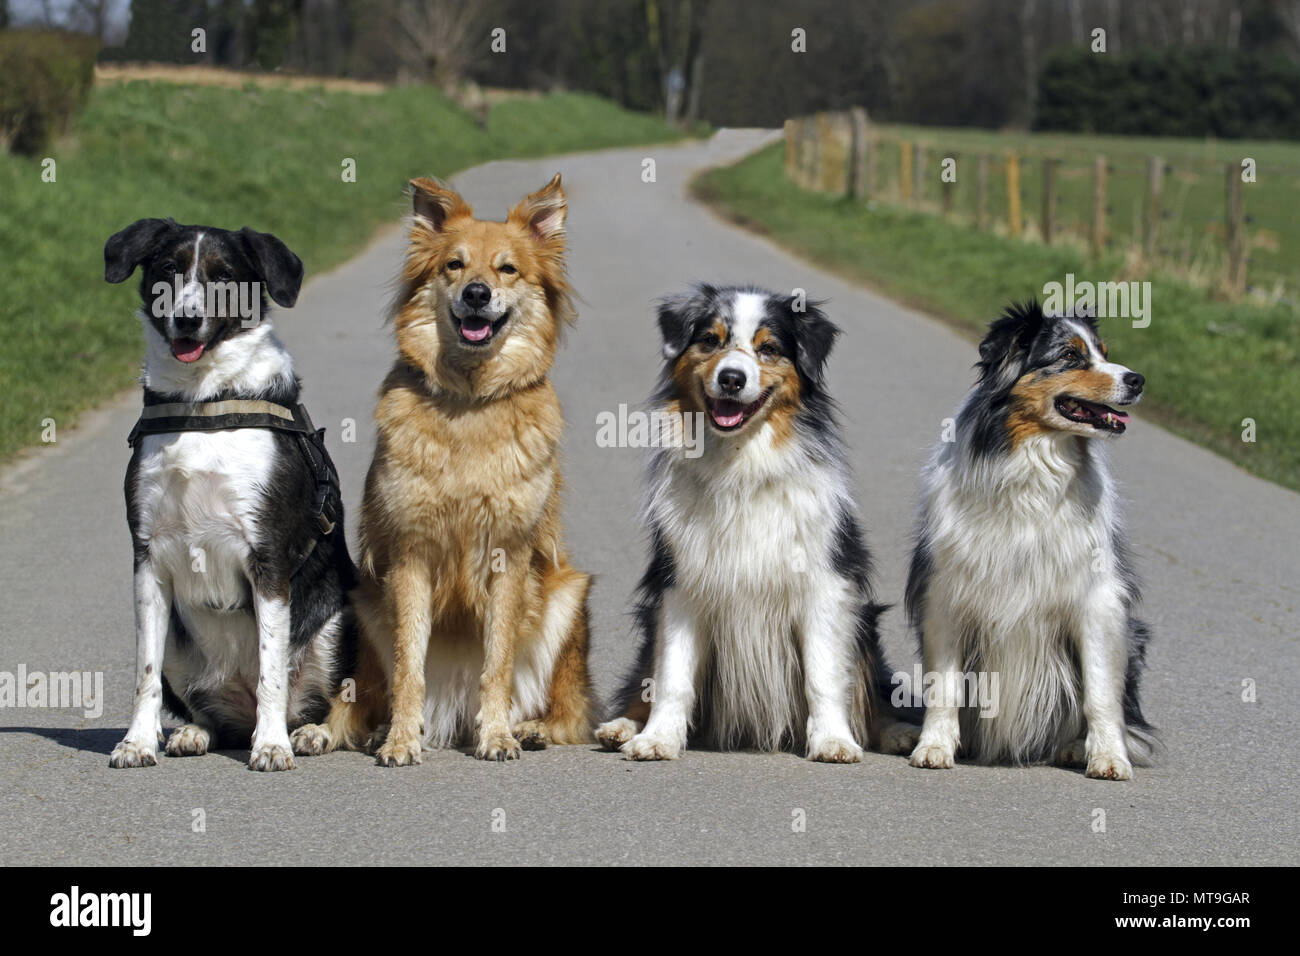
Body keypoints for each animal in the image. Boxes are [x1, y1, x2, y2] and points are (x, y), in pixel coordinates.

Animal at [104, 218, 356, 770]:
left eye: (224, 277)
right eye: (169, 269)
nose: (186, 319)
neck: (204, 403)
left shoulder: (269, 556)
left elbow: (271, 672)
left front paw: (272, 745)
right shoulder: (147, 559)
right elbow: (144, 674)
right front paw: (137, 741)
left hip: (339, 622)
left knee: (331, 700)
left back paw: (309, 733)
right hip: (181, 639)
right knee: (210, 714)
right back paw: (193, 733)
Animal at [291, 175, 595, 764]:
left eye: (507, 269)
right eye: (454, 265)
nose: (477, 293)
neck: (470, 402)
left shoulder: (509, 557)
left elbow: (497, 664)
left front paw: (496, 735)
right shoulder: (410, 556)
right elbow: (408, 666)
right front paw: (401, 741)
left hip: (569, 593)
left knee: (569, 712)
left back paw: (531, 728)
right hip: (364, 602)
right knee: (361, 697)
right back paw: (330, 731)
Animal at [595, 283, 915, 764]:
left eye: (768, 349)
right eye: (710, 340)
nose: (732, 378)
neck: (741, 462)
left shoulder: (824, 586)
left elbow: (823, 675)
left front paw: (832, 740)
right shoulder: (680, 585)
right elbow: (672, 675)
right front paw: (658, 738)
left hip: (865, 625)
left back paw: (898, 733)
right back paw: (620, 726)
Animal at [904, 303, 1159, 780]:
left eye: (1104, 352)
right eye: (1071, 356)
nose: (1137, 379)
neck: (1034, 464)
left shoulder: (1098, 601)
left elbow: (1101, 691)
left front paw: (1108, 757)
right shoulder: (945, 593)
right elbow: (945, 685)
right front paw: (934, 747)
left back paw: (1075, 748)